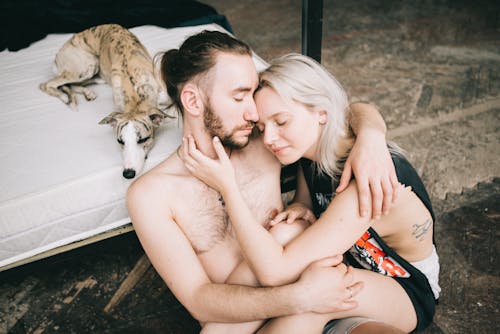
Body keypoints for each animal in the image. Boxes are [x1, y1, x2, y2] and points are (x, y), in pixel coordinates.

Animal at [39, 23, 172, 179]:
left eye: (143, 140)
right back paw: (67, 97)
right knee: (46, 85)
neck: (136, 94)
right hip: (86, 65)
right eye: (120, 141)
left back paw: (86, 93)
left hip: (91, 69)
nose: (128, 174)